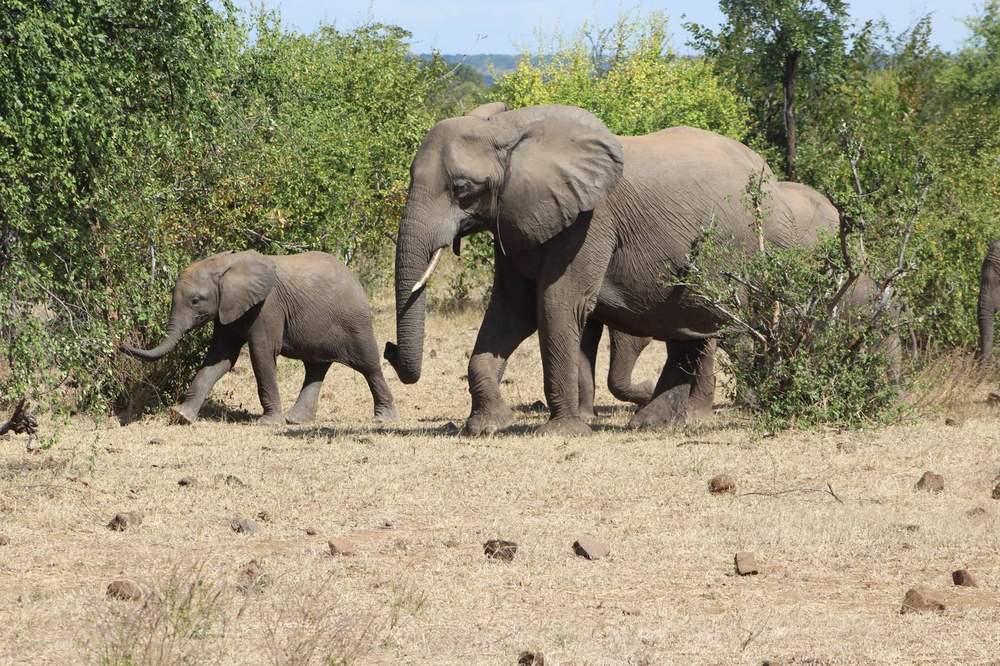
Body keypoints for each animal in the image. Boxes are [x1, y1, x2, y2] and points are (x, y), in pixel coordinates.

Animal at [122, 250, 397, 426]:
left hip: (356, 322)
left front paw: (268, 423)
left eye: (196, 301)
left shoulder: (268, 307)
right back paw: (296, 421)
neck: (225, 265)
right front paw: (181, 416)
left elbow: (261, 354)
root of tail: (354, 276)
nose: (122, 345)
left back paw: (384, 418)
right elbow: (220, 359)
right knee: (315, 367)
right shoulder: (229, 308)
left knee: (369, 366)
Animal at [384, 101, 811, 436]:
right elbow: (511, 311)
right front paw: (485, 426)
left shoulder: (591, 221)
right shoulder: (516, 219)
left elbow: (557, 304)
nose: (389, 349)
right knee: (688, 328)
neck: (509, 130)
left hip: (751, 245)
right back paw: (652, 422)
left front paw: (561, 431)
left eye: (461, 188)